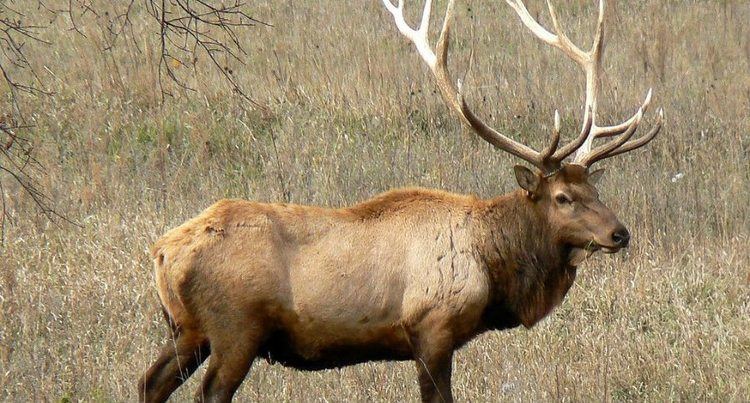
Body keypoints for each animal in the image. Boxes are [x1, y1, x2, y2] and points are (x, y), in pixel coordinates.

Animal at [140, 0, 664, 402]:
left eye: (595, 190)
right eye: (561, 197)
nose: (620, 233)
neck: (492, 265)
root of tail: (162, 251)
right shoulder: (431, 329)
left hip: (186, 329)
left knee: (150, 382)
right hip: (235, 329)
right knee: (208, 391)